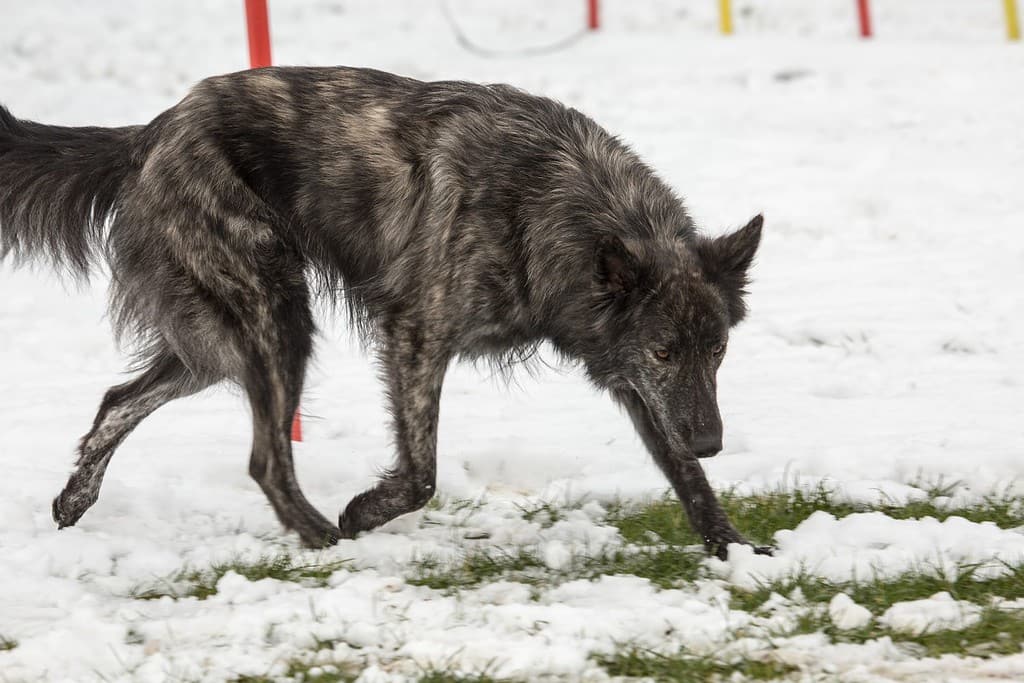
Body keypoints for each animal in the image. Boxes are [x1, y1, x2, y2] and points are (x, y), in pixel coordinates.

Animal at [0, 63, 770, 557]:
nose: (714, 439)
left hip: (217, 341)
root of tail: (151, 132)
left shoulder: (636, 379)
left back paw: (74, 500)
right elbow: (422, 473)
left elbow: (685, 474)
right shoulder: (417, 335)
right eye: (664, 349)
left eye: (718, 350)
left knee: (117, 401)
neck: (553, 203)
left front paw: (733, 549)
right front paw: (364, 511)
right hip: (275, 318)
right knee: (264, 457)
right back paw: (321, 537)